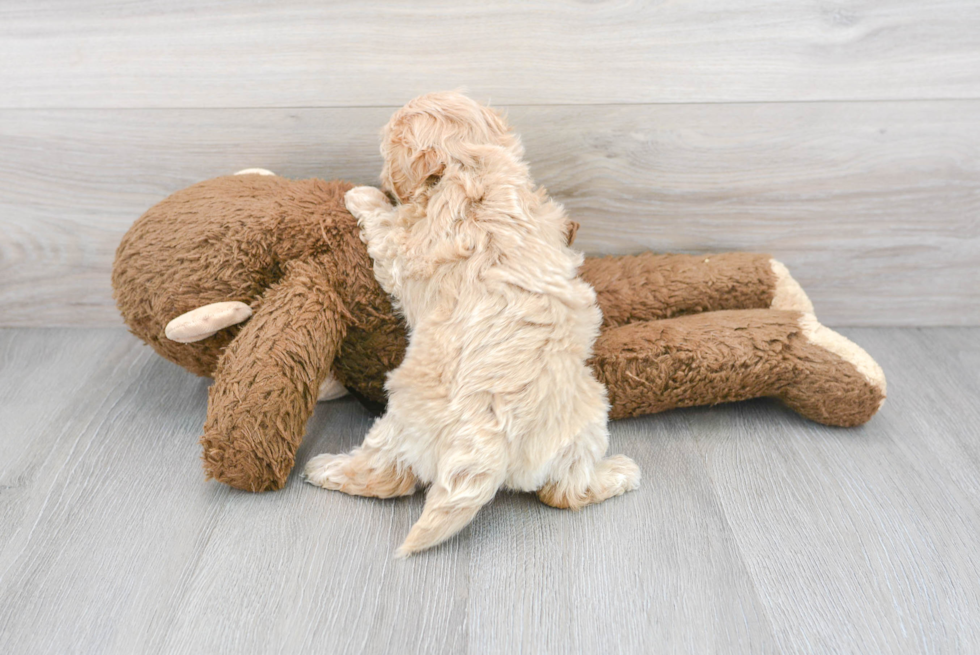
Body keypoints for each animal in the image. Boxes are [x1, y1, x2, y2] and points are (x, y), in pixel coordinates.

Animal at [306, 92, 644, 560]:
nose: (382, 180)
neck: (475, 164)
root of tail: (492, 436)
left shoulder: (408, 250)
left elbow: (387, 230)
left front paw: (363, 196)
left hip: (401, 420)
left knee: (387, 474)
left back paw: (327, 469)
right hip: (587, 417)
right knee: (565, 491)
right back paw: (617, 475)